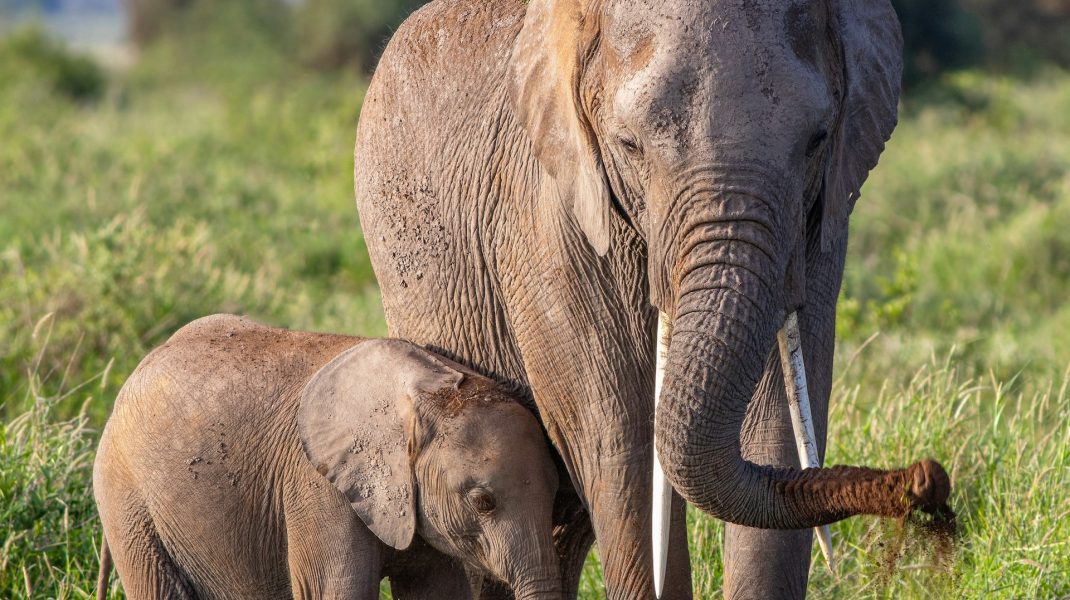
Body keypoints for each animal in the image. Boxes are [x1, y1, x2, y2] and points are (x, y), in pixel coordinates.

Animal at [355, 2, 950, 594]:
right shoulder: (552, 221)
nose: (927, 479)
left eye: (818, 139)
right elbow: (626, 446)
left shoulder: (819, 225)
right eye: (629, 145)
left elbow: (778, 433)